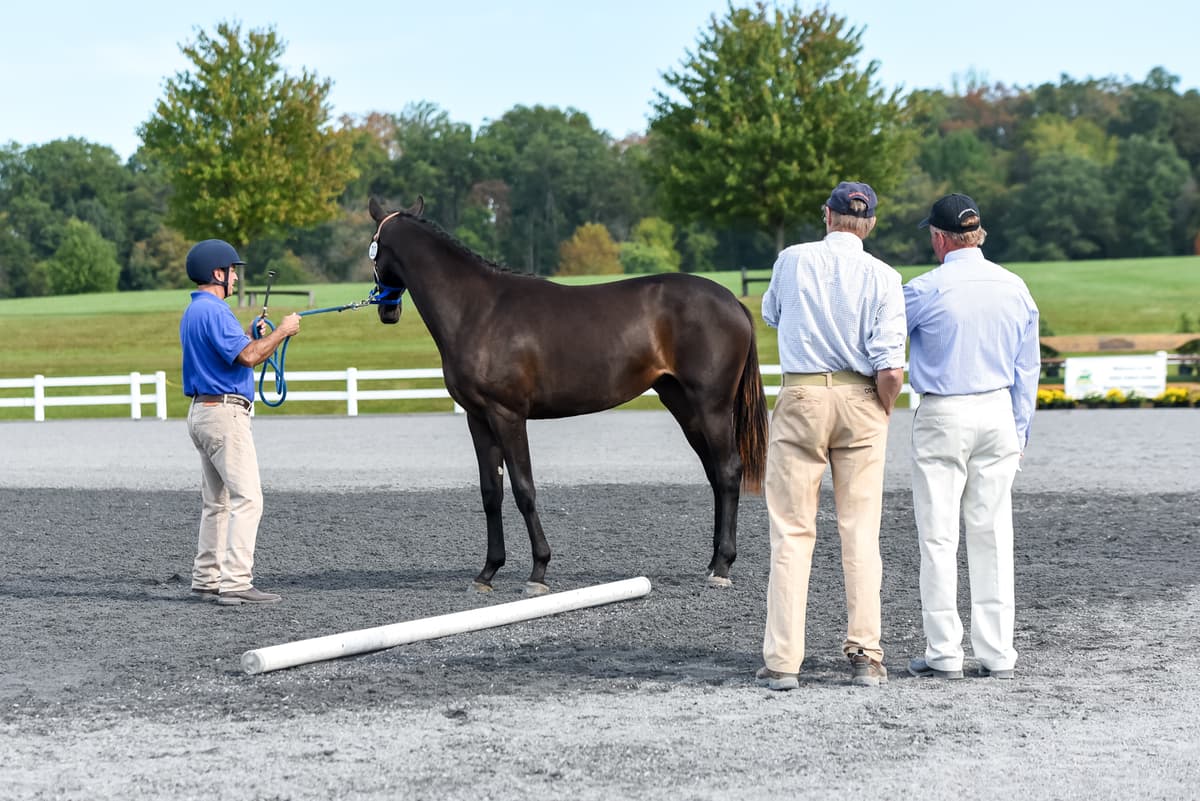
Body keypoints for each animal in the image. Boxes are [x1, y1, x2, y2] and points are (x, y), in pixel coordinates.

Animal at [367, 197, 768, 594]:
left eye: (374, 247)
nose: (387, 310)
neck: (477, 310)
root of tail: (733, 301)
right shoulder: (478, 418)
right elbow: (491, 493)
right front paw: (487, 572)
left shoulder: (507, 415)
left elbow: (524, 489)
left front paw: (538, 571)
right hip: (684, 406)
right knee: (715, 474)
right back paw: (713, 561)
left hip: (712, 407)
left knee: (729, 471)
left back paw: (722, 567)